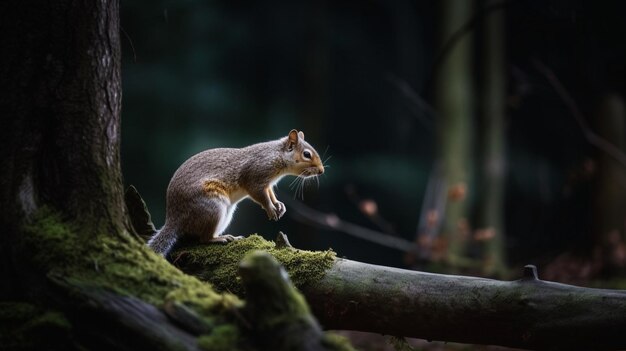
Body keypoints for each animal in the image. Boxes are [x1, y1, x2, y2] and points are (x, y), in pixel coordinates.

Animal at [148, 129, 324, 256]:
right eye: (307, 154)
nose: (322, 171)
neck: (276, 155)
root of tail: (174, 217)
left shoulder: (268, 184)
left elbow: (270, 194)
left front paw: (278, 205)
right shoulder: (255, 176)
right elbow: (259, 195)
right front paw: (270, 209)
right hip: (213, 207)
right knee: (203, 238)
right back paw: (220, 238)